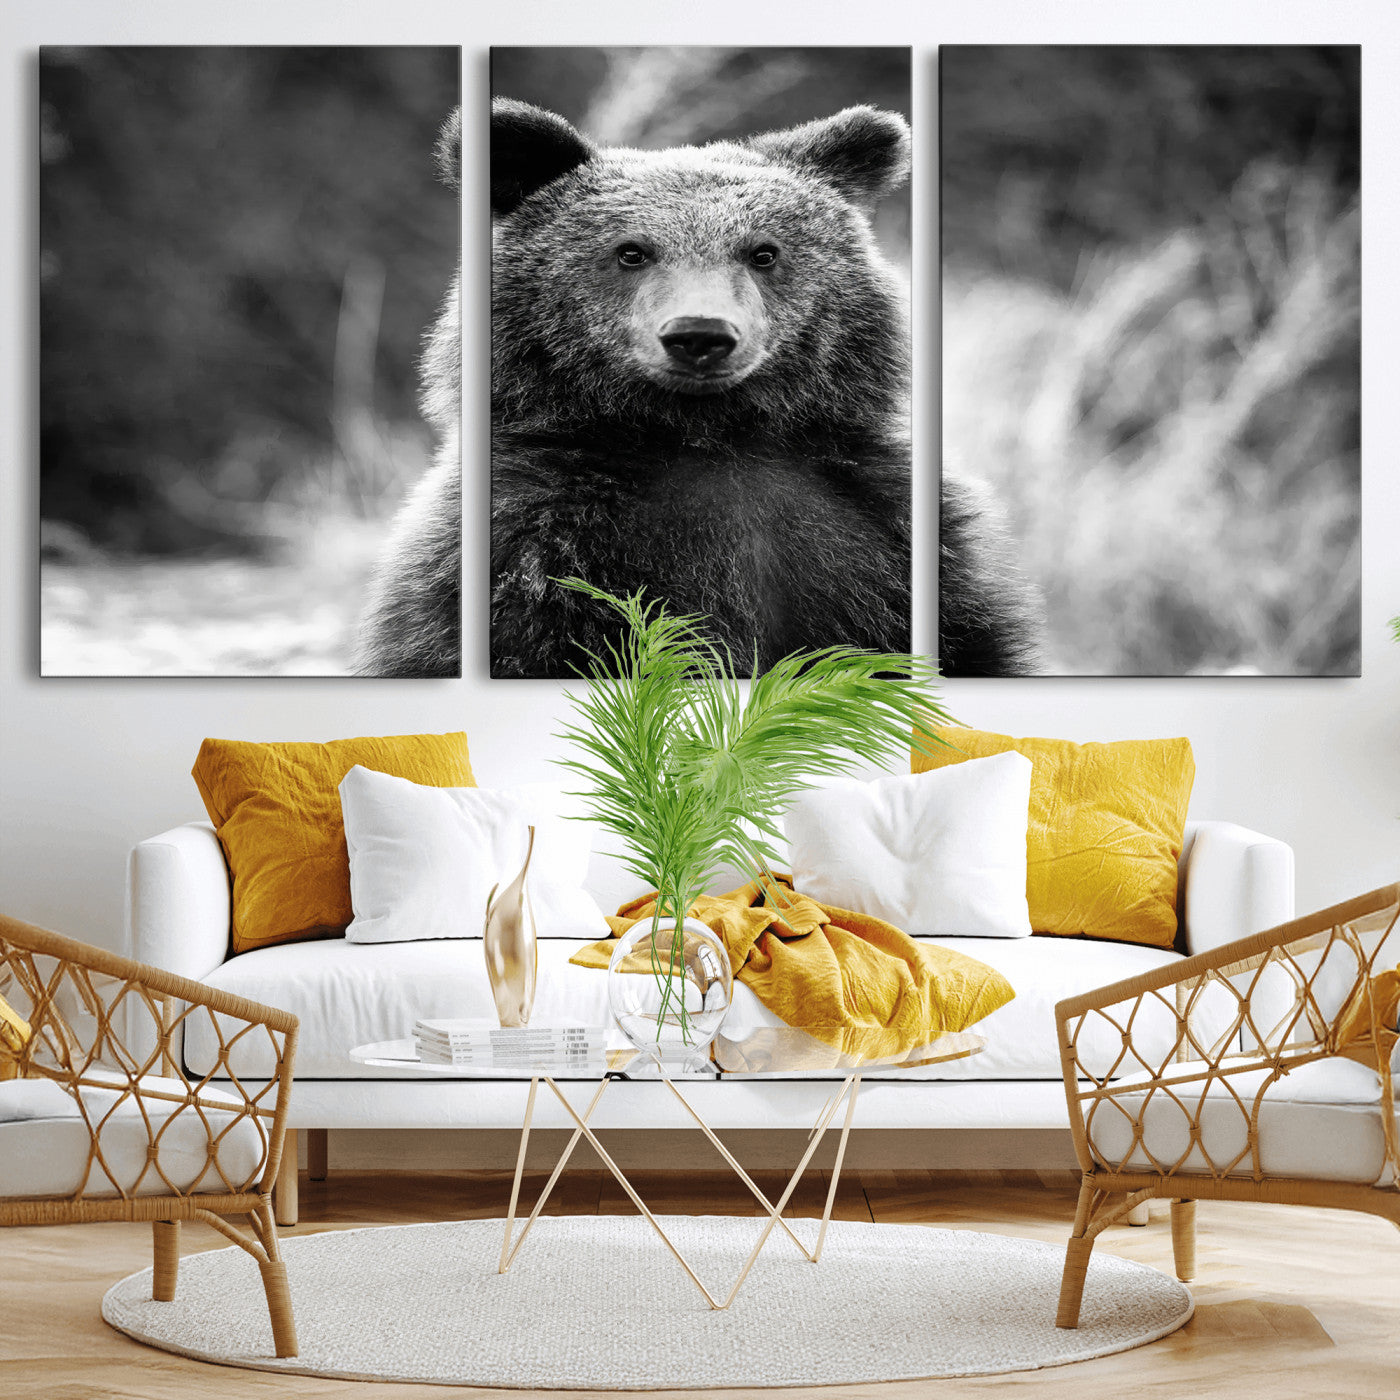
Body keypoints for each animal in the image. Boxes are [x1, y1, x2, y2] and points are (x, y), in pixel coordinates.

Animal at [357, 102, 1042, 679]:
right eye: (631, 251)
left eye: (763, 252)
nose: (700, 335)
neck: (706, 437)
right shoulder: (533, 549)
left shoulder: (883, 534)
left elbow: (966, 642)